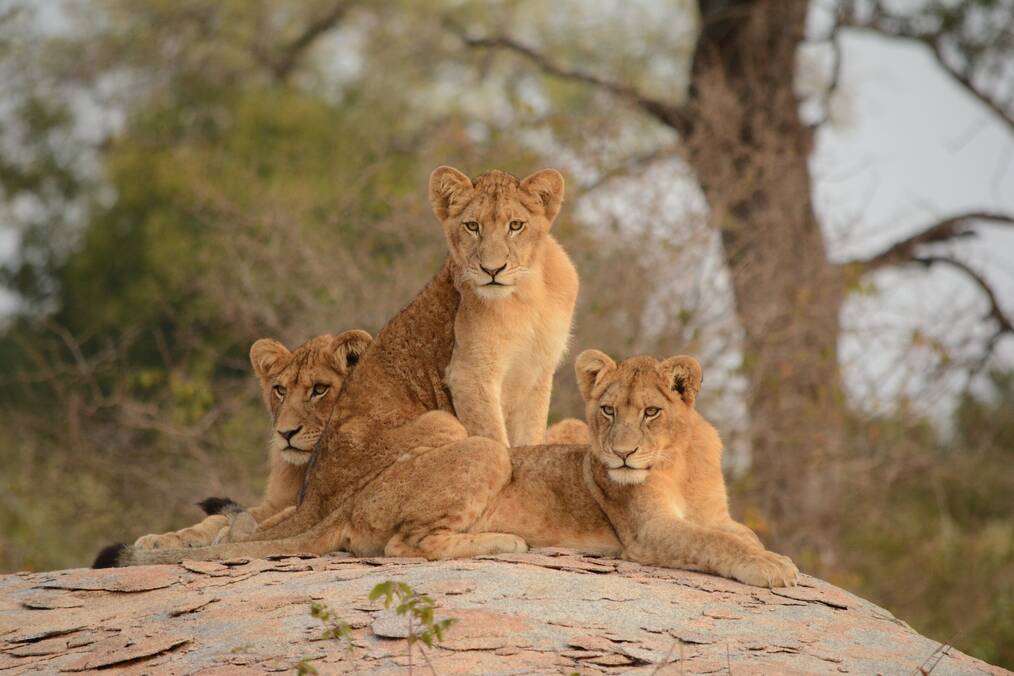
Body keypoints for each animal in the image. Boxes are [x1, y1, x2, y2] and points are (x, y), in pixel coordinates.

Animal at [131, 331, 371, 550]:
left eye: (320, 389)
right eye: (280, 390)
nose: (285, 433)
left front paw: (232, 535)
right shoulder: (275, 503)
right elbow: (224, 518)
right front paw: (164, 539)